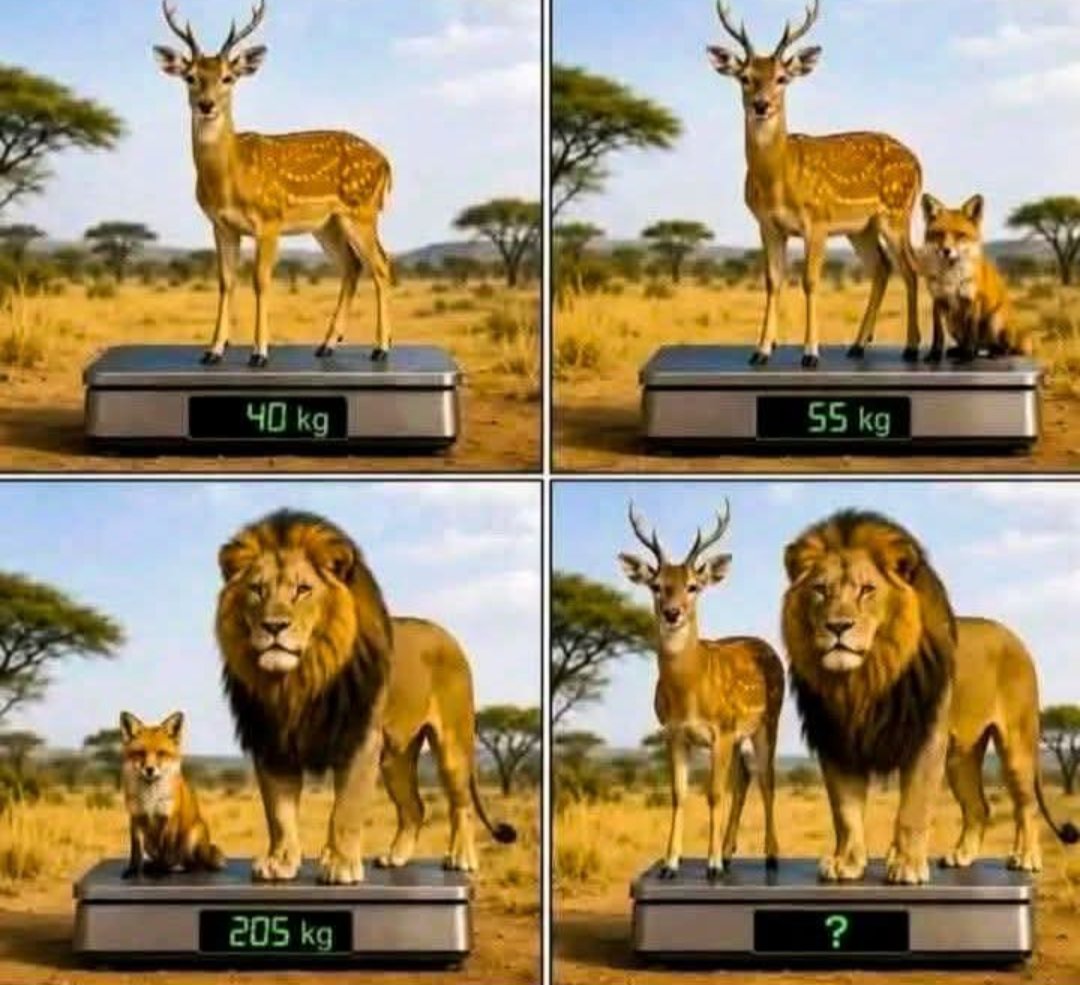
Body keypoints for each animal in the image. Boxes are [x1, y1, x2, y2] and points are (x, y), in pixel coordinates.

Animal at [154, 1, 393, 368]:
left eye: (228, 77)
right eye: (191, 77)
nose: (206, 105)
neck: (230, 178)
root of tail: (386, 163)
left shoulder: (269, 220)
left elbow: (261, 281)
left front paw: (259, 353)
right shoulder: (221, 225)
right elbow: (226, 281)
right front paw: (213, 351)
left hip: (362, 211)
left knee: (380, 264)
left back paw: (380, 348)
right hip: (327, 224)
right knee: (352, 267)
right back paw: (326, 345)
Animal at [216, 509, 517, 885]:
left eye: (303, 590)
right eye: (257, 590)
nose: (273, 626)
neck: (297, 680)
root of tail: (447, 635)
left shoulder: (360, 739)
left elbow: (345, 809)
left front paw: (341, 865)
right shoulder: (273, 743)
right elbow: (279, 813)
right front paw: (280, 863)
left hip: (452, 745)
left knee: (460, 804)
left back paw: (461, 858)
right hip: (395, 757)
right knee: (415, 807)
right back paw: (395, 858)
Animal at [619, 502, 784, 879]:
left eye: (693, 586)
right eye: (657, 585)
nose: (672, 612)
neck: (689, 693)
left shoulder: (720, 730)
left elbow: (713, 794)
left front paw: (711, 865)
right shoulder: (674, 733)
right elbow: (679, 793)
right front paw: (670, 864)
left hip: (767, 722)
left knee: (766, 778)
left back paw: (770, 855)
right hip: (738, 737)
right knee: (745, 777)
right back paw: (729, 851)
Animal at [707, 0, 923, 369]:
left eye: (782, 78)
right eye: (745, 78)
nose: (761, 105)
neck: (779, 182)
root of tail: (918, 163)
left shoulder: (817, 220)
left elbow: (809, 281)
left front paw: (810, 353)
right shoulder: (767, 225)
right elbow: (773, 281)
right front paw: (760, 351)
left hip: (897, 214)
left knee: (910, 268)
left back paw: (912, 347)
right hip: (861, 228)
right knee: (881, 268)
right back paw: (858, 346)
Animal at [782, 510, 1077, 886]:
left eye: (867, 590)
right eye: (820, 590)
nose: (837, 626)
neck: (862, 679)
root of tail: (1013, 637)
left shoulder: (925, 738)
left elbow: (913, 809)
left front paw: (907, 866)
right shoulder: (838, 741)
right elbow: (845, 811)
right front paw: (846, 863)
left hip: (1017, 745)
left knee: (1025, 805)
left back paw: (1025, 858)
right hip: (961, 756)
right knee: (979, 807)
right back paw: (961, 857)